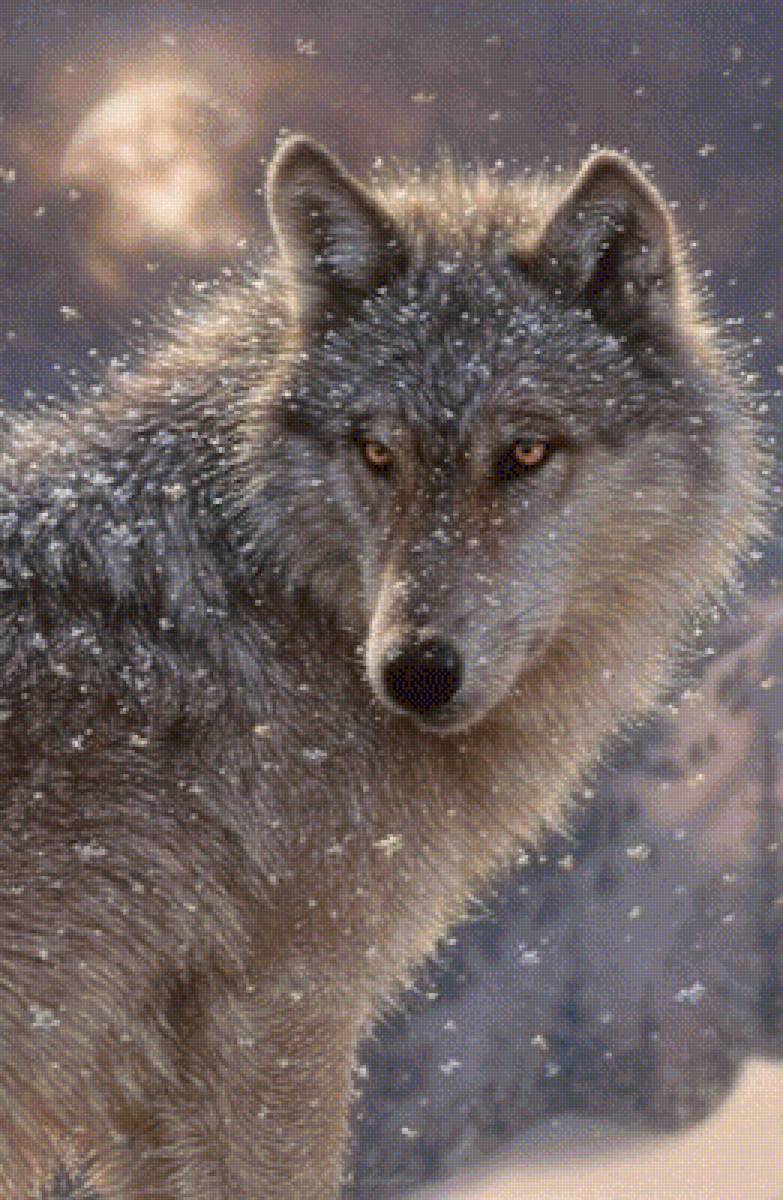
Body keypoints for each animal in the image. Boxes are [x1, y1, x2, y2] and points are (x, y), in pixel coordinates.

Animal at [0, 134, 768, 1199]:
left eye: (525, 451)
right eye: (375, 452)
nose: (415, 673)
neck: (282, 588)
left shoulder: (158, 1083)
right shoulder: (280, 1013)